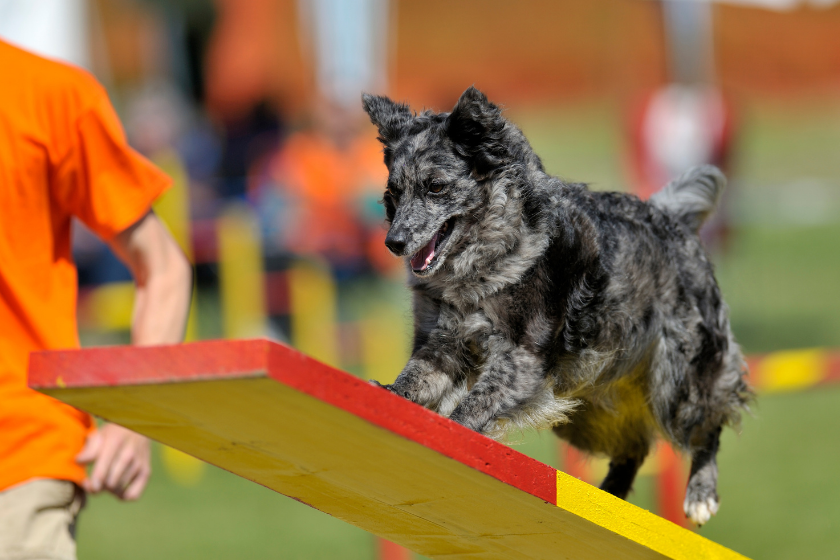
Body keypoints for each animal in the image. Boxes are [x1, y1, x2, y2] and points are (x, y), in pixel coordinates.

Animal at [364, 86, 752, 524]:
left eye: (435, 187)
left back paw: (700, 495)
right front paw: (387, 393)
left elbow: (471, 405)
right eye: (394, 193)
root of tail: (671, 218)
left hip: (677, 382)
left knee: (709, 421)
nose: (393, 243)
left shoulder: (521, 360)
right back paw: (610, 501)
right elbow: (414, 379)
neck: (485, 261)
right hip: (588, 407)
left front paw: (453, 427)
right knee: (633, 446)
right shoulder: (443, 344)